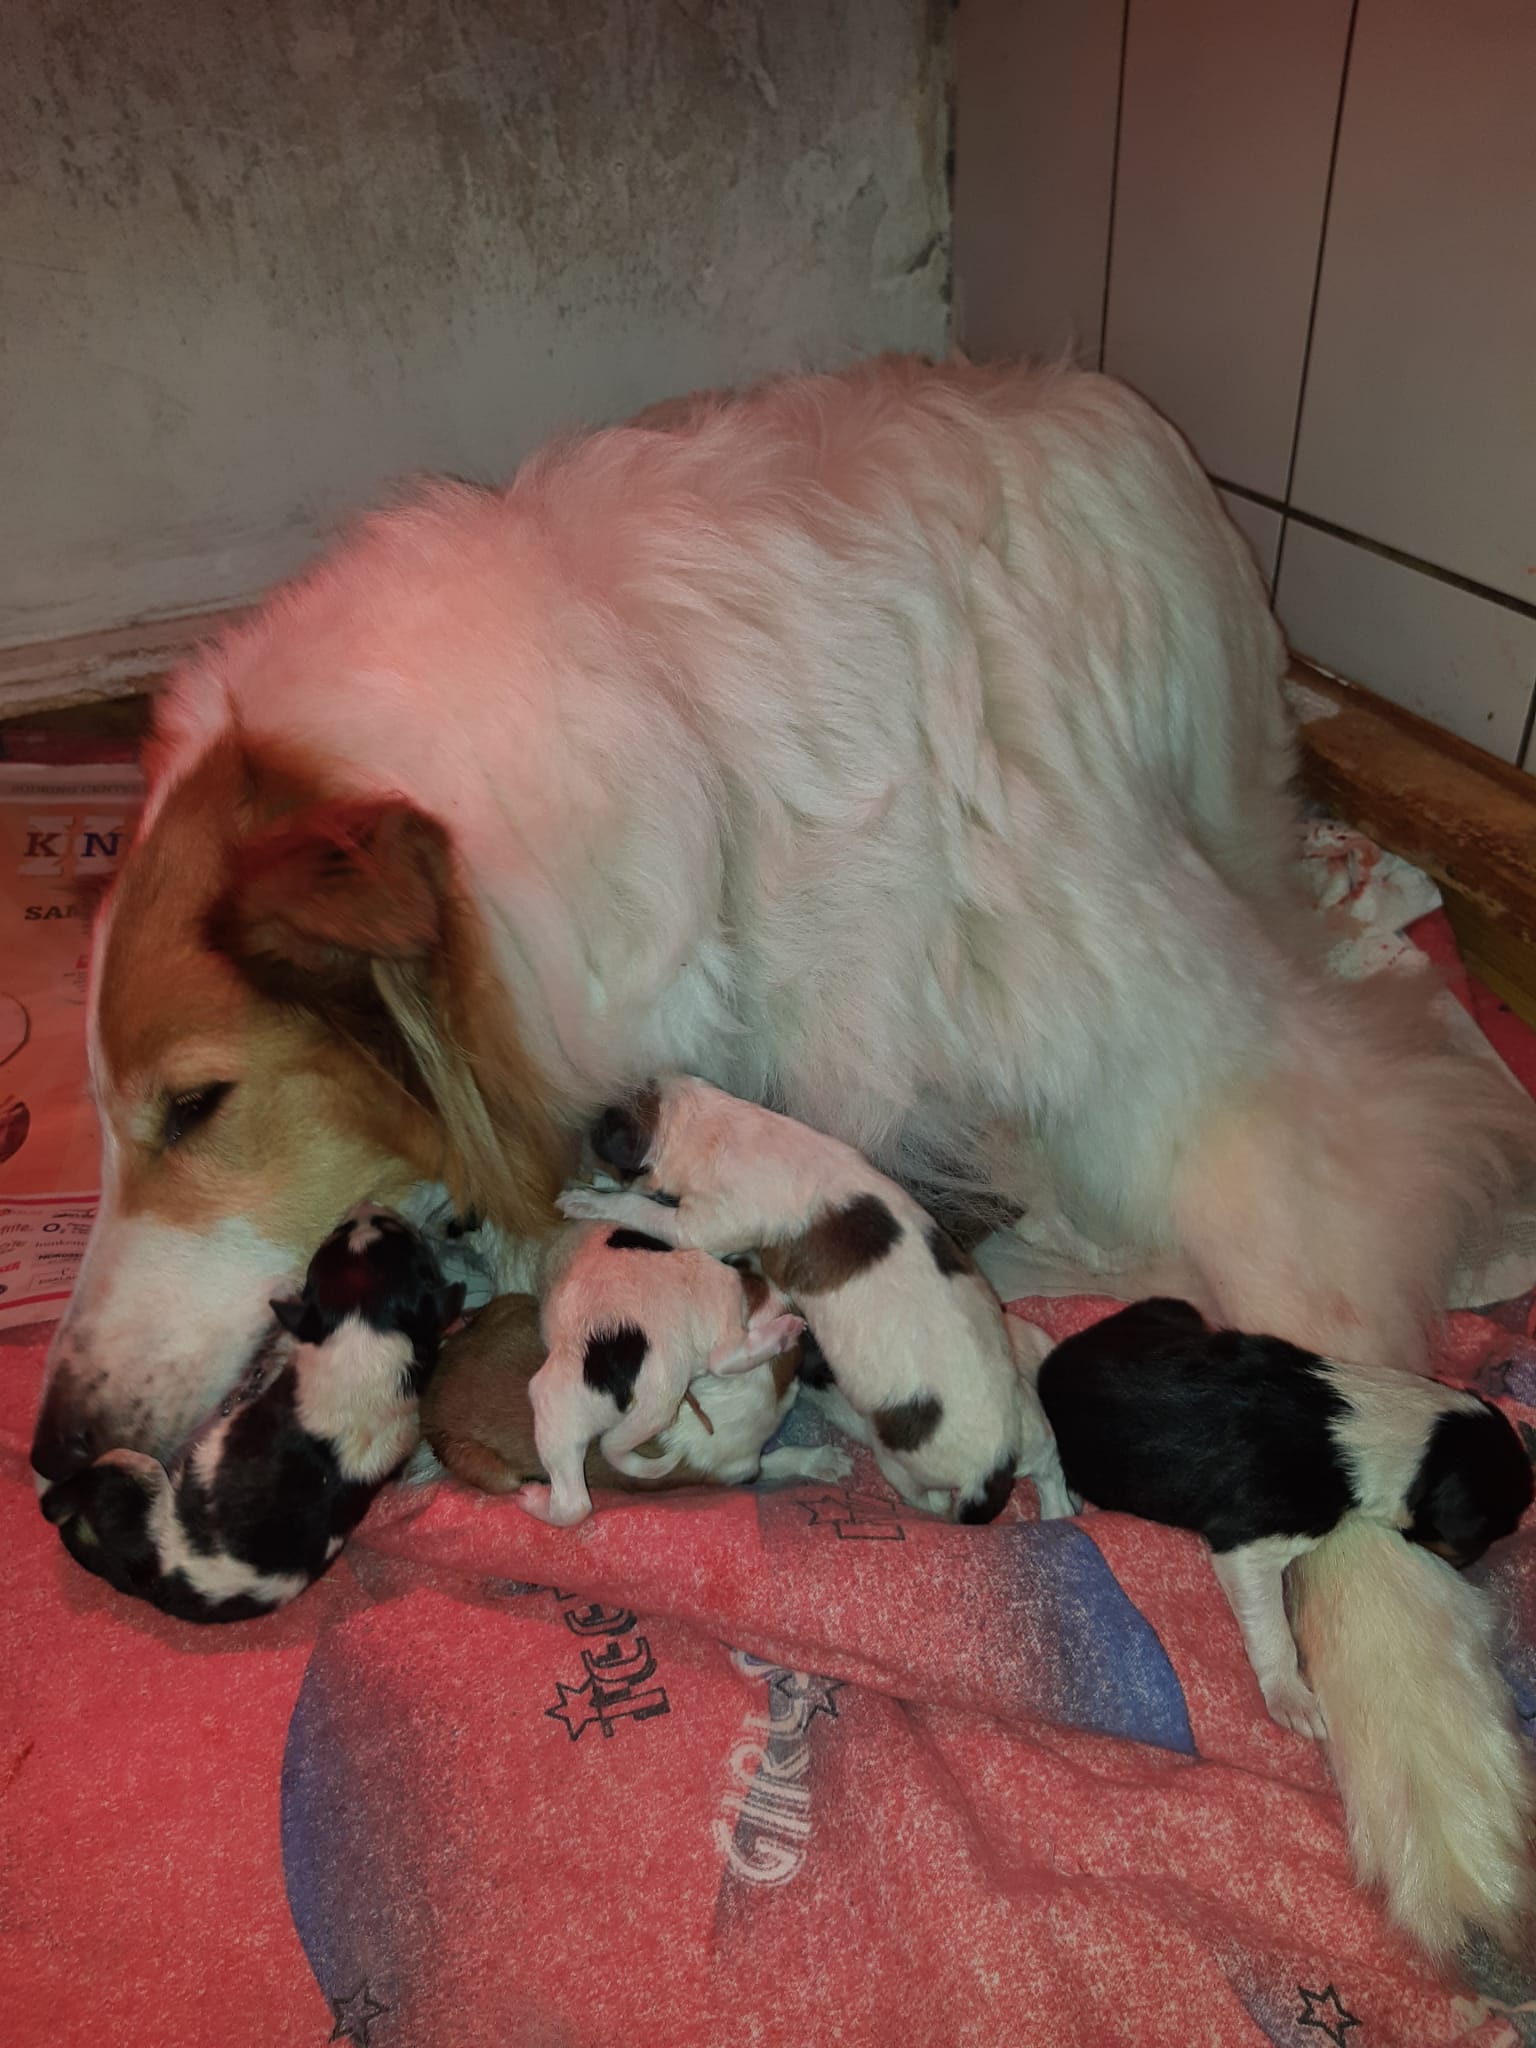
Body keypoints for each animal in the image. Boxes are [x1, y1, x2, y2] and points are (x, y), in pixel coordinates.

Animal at [422, 1289, 851, 1502]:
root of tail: (430, 1398)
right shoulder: (741, 1469)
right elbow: (779, 1458)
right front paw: (823, 1460)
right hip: (486, 1468)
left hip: (514, 1306)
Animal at [560, 1078, 1073, 1525]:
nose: (584, 1132)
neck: (721, 1125)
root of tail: (995, 1466)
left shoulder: (702, 1225)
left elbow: (642, 1208)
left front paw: (589, 1200)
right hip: (1035, 1428)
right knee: (1051, 1470)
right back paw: (1058, 1513)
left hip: (901, 1465)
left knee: (925, 1499)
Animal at [1035, 1297, 1535, 1954]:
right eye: (1487, 1534)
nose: (1469, 1566)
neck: (1385, 1423)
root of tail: (1052, 1364)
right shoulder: (1249, 1545)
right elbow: (1270, 1632)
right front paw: (1292, 1699)